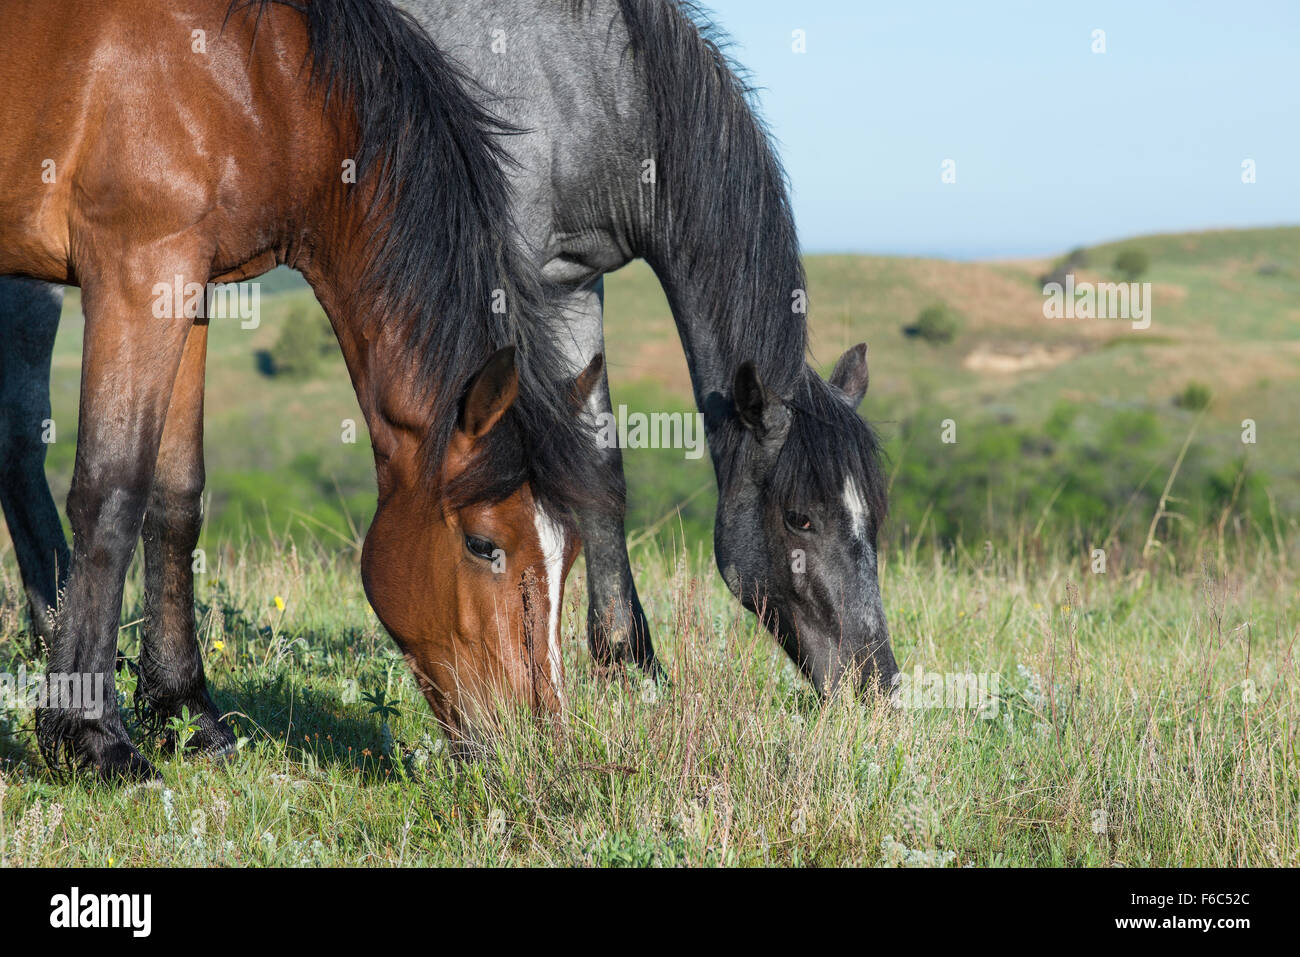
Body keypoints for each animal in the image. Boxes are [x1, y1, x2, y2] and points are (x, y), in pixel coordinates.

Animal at [0, 0, 611, 780]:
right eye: (483, 545)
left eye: (571, 552)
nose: (537, 752)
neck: (254, 78)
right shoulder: (139, 272)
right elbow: (112, 495)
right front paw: (90, 736)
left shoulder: (189, 286)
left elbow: (176, 501)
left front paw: (187, 713)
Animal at [0, 1, 894, 702]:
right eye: (800, 516)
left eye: (871, 519)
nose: (877, 683)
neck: (588, 79)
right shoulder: (516, 275)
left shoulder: (573, 283)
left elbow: (599, 469)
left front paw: (628, 664)